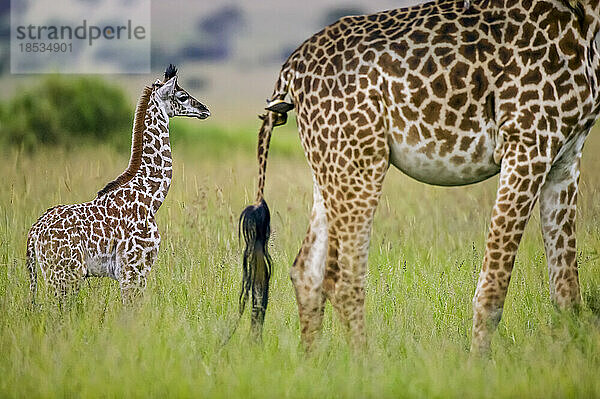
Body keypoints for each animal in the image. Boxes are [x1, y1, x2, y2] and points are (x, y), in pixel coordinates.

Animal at [26, 65, 211, 304]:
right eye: (182, 96)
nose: (205, 109)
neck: (151, 197)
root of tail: (34, 233)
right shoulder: (134, 267)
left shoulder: (129, 270)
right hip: (66, 274)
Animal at [239, 0, 600, 354]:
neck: (586, 21)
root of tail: (290, 71)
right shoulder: (528, 142)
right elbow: (493, 289)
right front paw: (478, 366)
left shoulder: (565, 158)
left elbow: (567, 292)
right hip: (360, 160)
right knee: (342, 278)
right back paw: (363, 365)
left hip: (329, 163)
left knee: (306, 272)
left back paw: (312, 364)